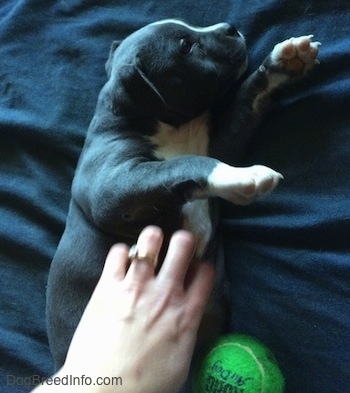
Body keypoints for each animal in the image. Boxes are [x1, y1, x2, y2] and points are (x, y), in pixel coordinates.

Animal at [46, 18, 320, 368]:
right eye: (186, 47)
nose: (230, 28)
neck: (170, 128)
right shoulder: (112, 189)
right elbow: (181, 165)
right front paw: (240, 175)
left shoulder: (220, 141)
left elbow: (246, 98)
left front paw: (285, 61)